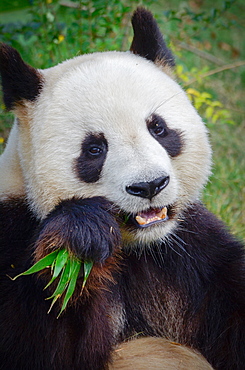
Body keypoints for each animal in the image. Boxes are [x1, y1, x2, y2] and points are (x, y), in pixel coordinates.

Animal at [0, 6, 244, 370]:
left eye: (158, 128)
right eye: (94, 149)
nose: (149, 185)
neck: (136, 248)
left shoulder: (192, 254)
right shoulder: (12, 238)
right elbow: (44, 335)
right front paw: (81, 236)